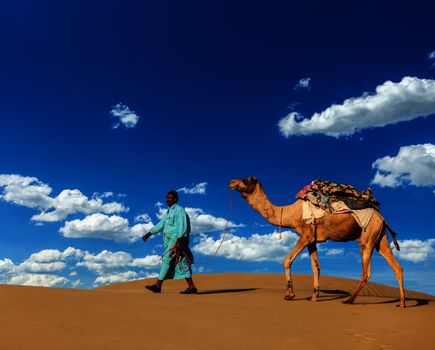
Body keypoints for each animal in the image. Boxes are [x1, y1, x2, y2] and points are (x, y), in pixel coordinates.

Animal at [230, 175, 408, 306]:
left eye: (246, 180)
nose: (231, 182)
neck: (289, 214)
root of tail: (383, 218)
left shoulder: (306, 234)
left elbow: (287, 260)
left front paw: (290, 294)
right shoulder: (312, 240)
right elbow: (316, 266)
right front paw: (314, 296)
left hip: (368, 238)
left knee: (367, 271)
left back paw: (349, 300)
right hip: (380, 239)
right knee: (397, 267)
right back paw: (402, 303)